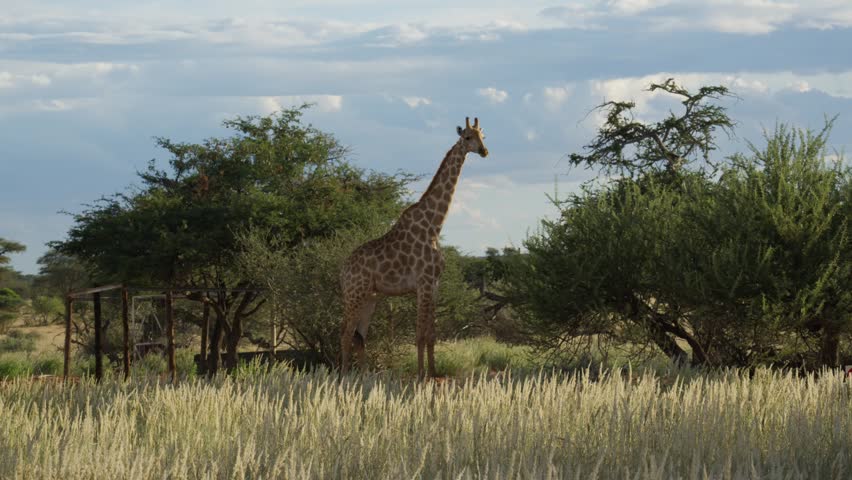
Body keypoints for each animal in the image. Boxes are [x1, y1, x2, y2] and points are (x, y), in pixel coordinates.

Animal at [340, 117, 489, 378]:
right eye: (467, 137)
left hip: (370, 298)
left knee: (360, 337)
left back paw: (364, 377)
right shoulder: (423, 283)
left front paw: (434, 373)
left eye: (483, 135)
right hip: (354, 295)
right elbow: (419, 335)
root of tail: (342, 271)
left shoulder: (434, 284)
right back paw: (344, 376)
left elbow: (432, 335)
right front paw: (420, 375)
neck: (434, 226)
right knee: (346, 336)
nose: (484, 151)